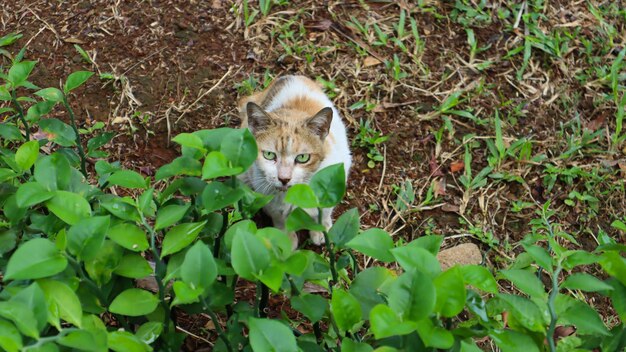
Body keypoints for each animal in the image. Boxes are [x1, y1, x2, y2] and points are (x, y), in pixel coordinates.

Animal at [236, 75, 352, 249]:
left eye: (303, 158)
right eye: (269, 155)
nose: (284, 178)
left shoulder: (336, 177)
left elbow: (324, 211)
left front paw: (321, 229)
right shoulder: (268, 197)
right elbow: (279, 218)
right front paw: (285, 239)